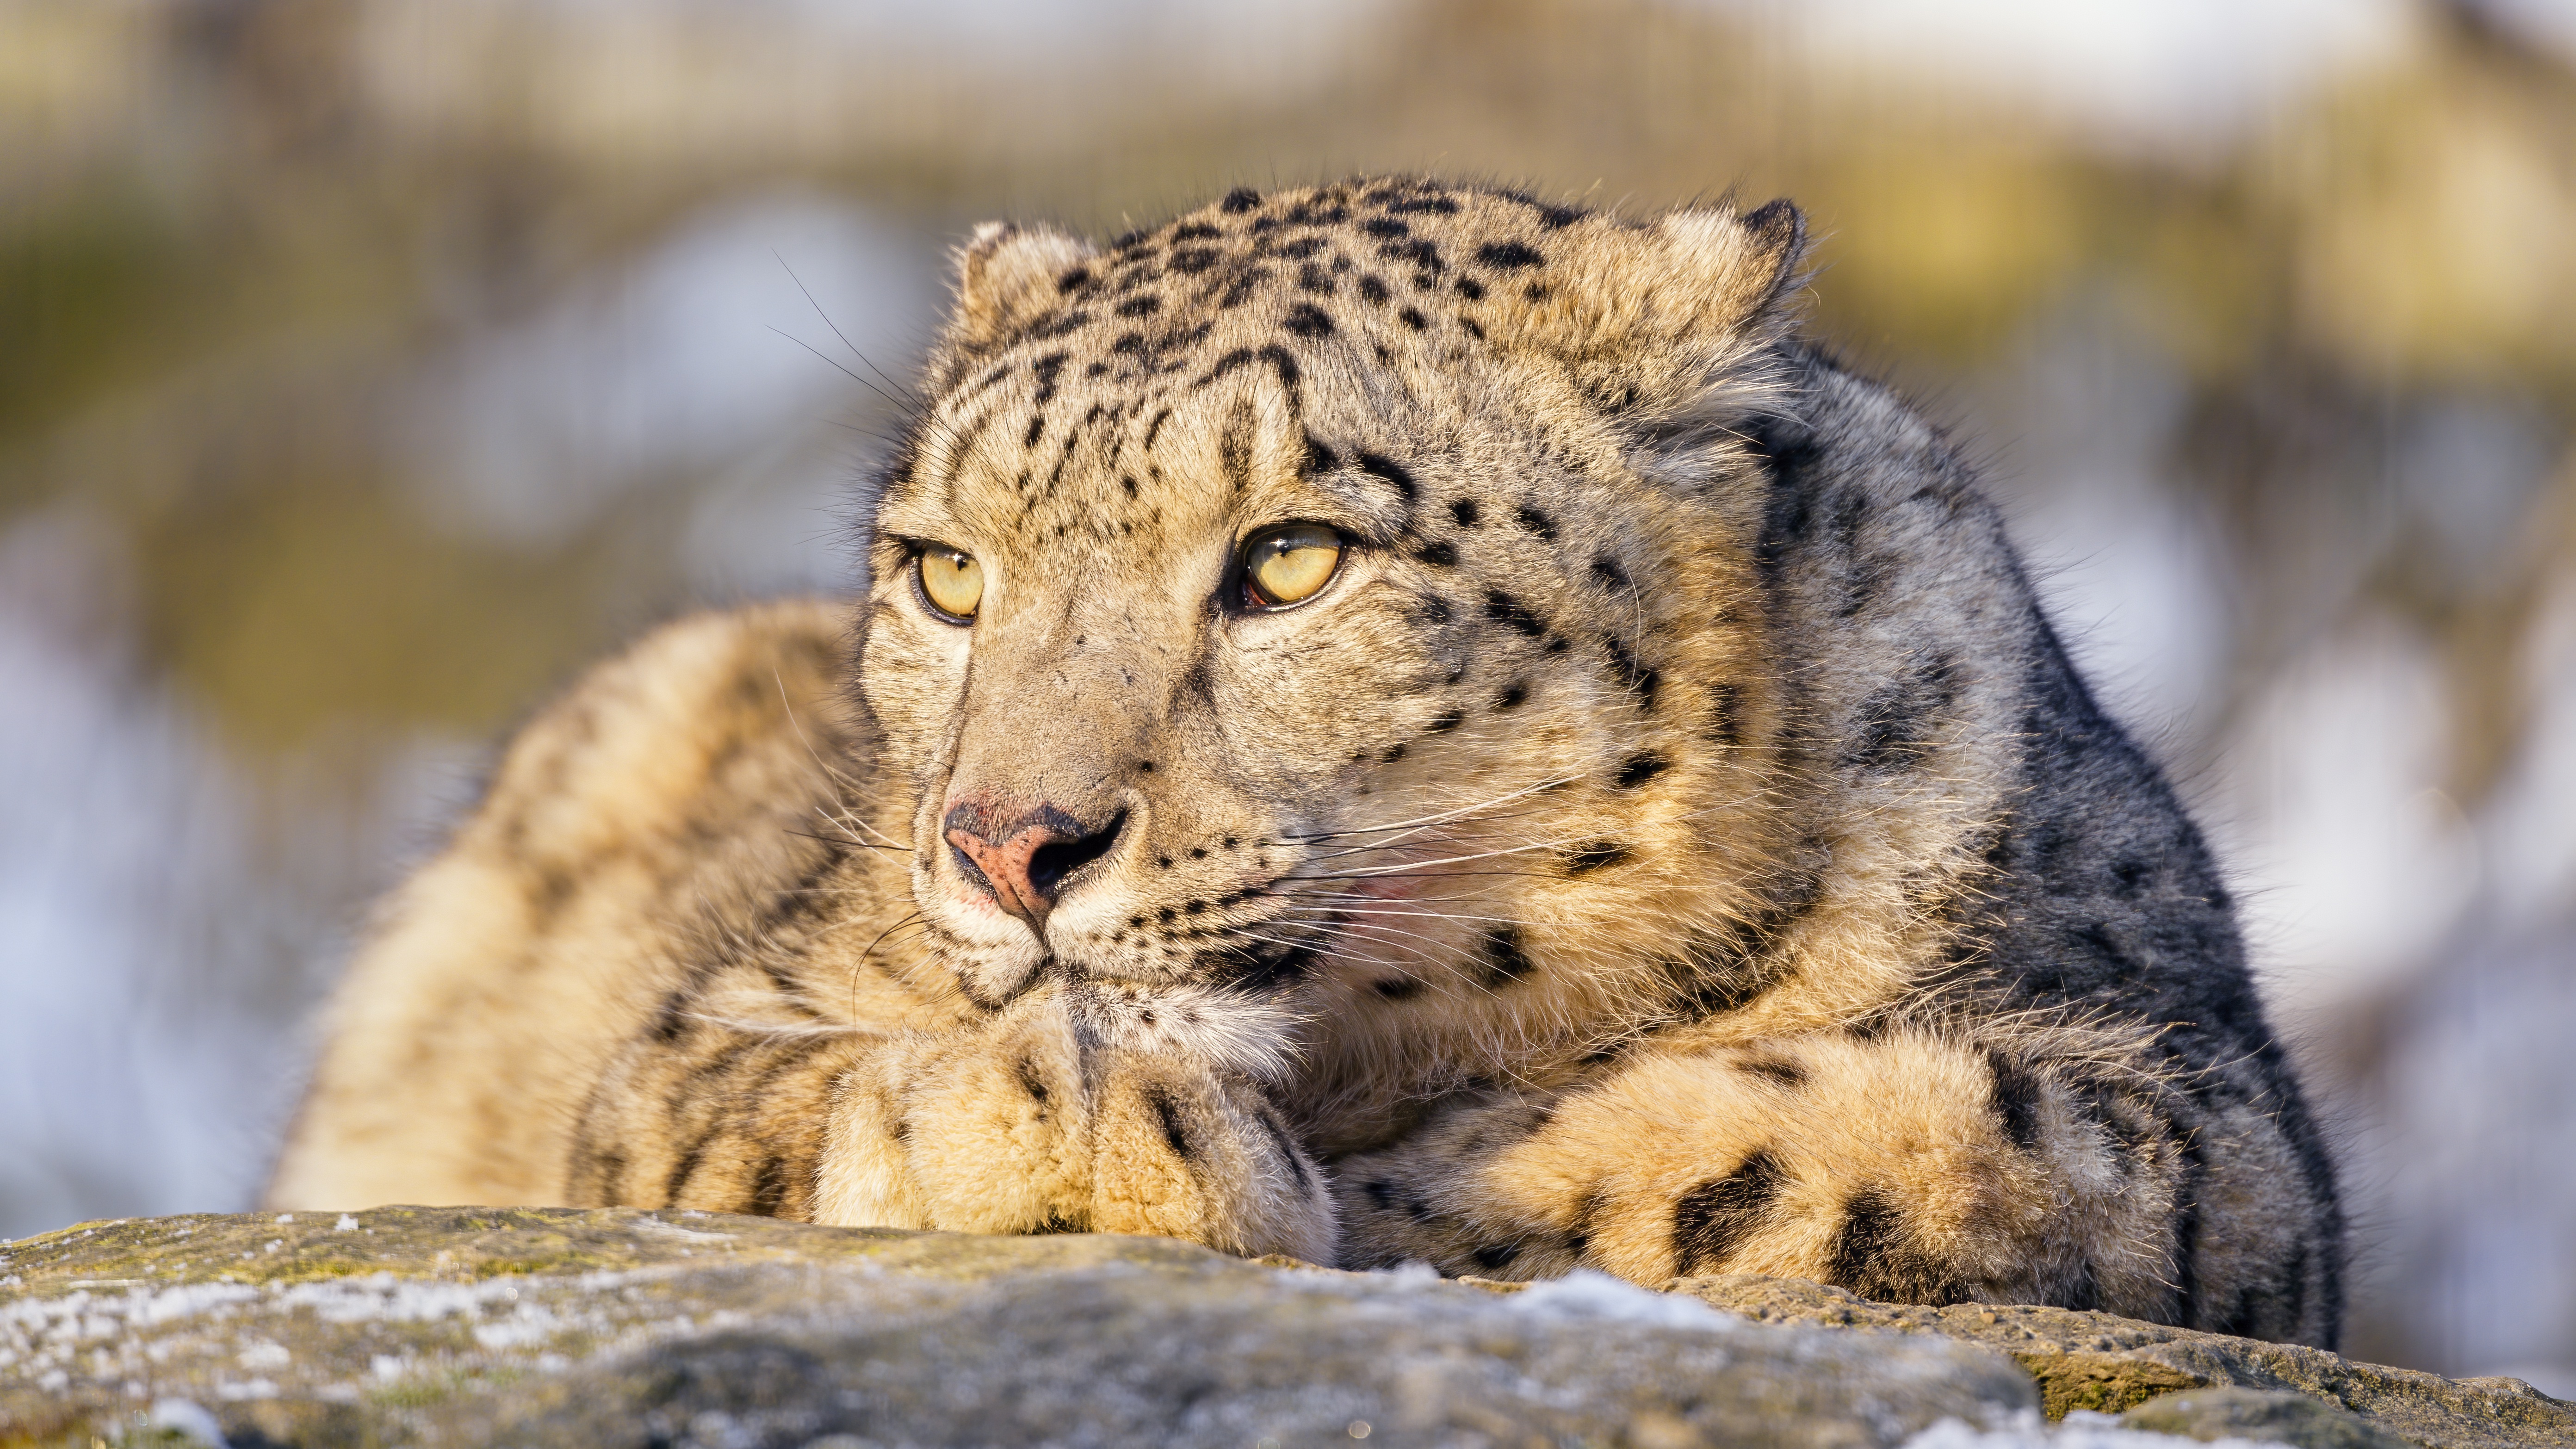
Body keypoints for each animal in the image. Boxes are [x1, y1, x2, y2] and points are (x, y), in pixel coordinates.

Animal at [272, 178, 2349, 1340]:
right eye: (948, 570)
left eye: (1290, 558)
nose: (1005, 845)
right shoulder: (709, 1026)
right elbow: (751, 1107)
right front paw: (1067, 1113)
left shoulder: (2202, 1113)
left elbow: (1910, 1140)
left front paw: (1399, 1180)